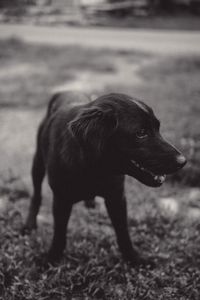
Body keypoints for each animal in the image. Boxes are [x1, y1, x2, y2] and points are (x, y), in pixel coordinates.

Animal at [24, 92, 187, 264]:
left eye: (158, 128)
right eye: (141, 132)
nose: (183, 161)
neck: (95, 168)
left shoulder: (117, 197)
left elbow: (123, 232)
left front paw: (133, 259)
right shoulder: (61, 200)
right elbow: (59, 234)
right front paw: (52, 258)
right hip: (38, 163)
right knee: (36, 195)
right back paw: (30, 223)